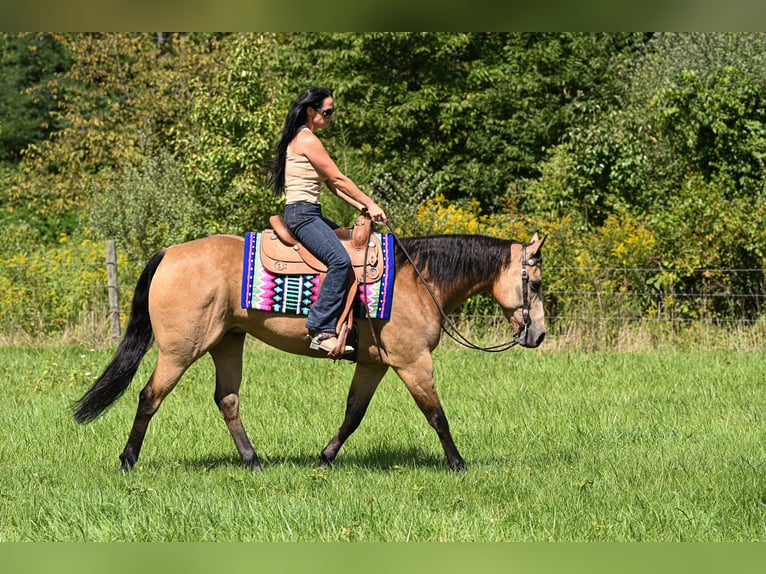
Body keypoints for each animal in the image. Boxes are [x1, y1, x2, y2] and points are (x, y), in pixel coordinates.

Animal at [73, 230, 546, 471]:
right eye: (537, 283)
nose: (539, 334)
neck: (416, 280)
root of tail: (169, 252)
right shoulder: (413, 362)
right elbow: (436, 415)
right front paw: (458, 463)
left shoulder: (374, 364)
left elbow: (354, 415)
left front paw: (325, 457)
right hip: (179, 351)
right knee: (149, 397)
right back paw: (128, 461)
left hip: (227, 342)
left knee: (227, 400)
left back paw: (253, 461)